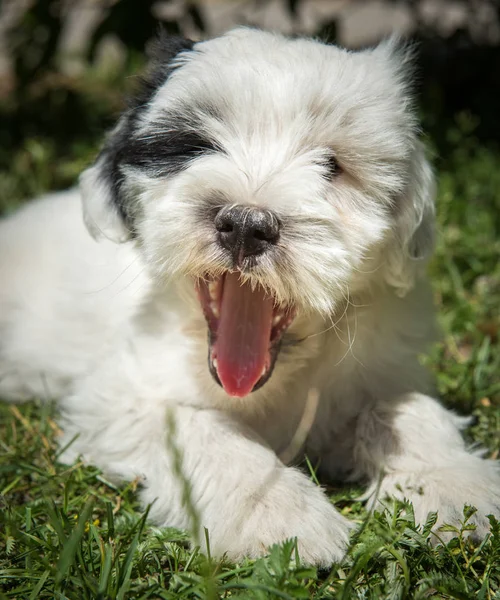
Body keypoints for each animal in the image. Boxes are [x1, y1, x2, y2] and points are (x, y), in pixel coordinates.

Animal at [0, 27, 500, 564]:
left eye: (332, 166)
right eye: (197, 146)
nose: (245, 224)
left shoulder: (380, 367)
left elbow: (402, 407)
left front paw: (452, 485)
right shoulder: (121, 397)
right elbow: (202, 430)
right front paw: (278, 514)